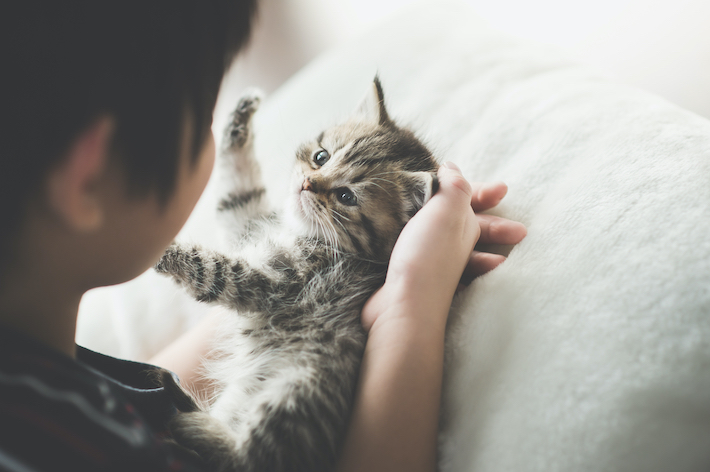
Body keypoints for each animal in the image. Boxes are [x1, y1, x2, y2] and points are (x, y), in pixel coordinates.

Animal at [157, 78, 440, 472]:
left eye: (346, 196)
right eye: (321, 157)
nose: (307, 183)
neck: (304, 234)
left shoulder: (269, 281)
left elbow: (210, 267)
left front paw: (159, 250)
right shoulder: (245, 224)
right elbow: (234, 192)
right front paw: (238, 118)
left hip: (295, 389)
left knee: (246, 459)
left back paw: (189, 419)